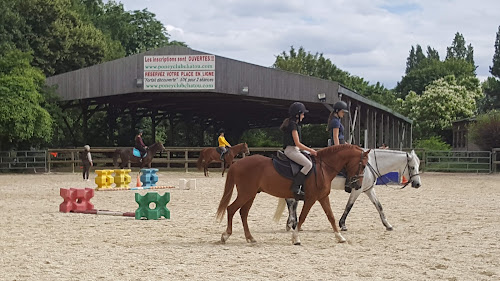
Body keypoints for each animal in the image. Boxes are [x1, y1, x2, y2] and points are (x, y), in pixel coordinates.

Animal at [216, 143, 372, 244]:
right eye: (363, 165)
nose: (358, 185)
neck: (323, 167)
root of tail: (237, 163)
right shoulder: (311, 199)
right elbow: (302, 217)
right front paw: (296, 238)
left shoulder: (323, 197)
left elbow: (331, 216)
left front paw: (339, 237)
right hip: (246, 193)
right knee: (231, 209)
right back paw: (226, 236)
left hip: (251, 195)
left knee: (243, 213)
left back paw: (250, 237)